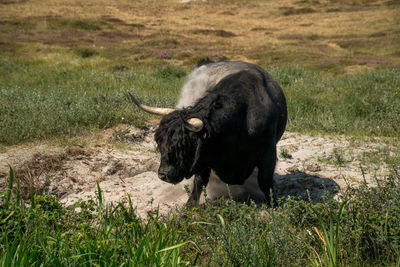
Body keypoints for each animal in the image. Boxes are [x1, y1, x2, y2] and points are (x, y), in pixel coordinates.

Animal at [128, 60, 288, 206]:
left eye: (184, 145)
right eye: (160, 143)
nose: (163, 174)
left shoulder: (269, 154)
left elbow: (265, 182)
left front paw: (273, 205)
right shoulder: (204, 157)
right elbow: (200, 181)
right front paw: (189, 206)